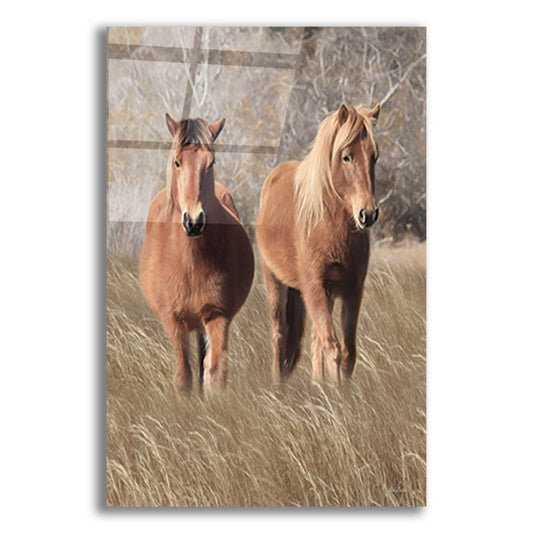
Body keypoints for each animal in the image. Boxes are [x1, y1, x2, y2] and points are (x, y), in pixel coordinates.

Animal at [139, 114, 256, 392]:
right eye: (177, 162)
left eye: (210, 163)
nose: (193, 221)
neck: (189, 262)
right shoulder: (174, 321)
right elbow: (184, 376)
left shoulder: (217, 316)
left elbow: (214, 373)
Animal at [256, 104, 380, 384]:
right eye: (346, 157)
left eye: (374, 157)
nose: (367, 214)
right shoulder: (314, 287)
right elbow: (332, 348)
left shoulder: (352, 290)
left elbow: (347, 352)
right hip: (275, 281)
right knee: (279, 333)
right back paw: (277, 385)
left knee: (314, 341)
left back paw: (316, 384)